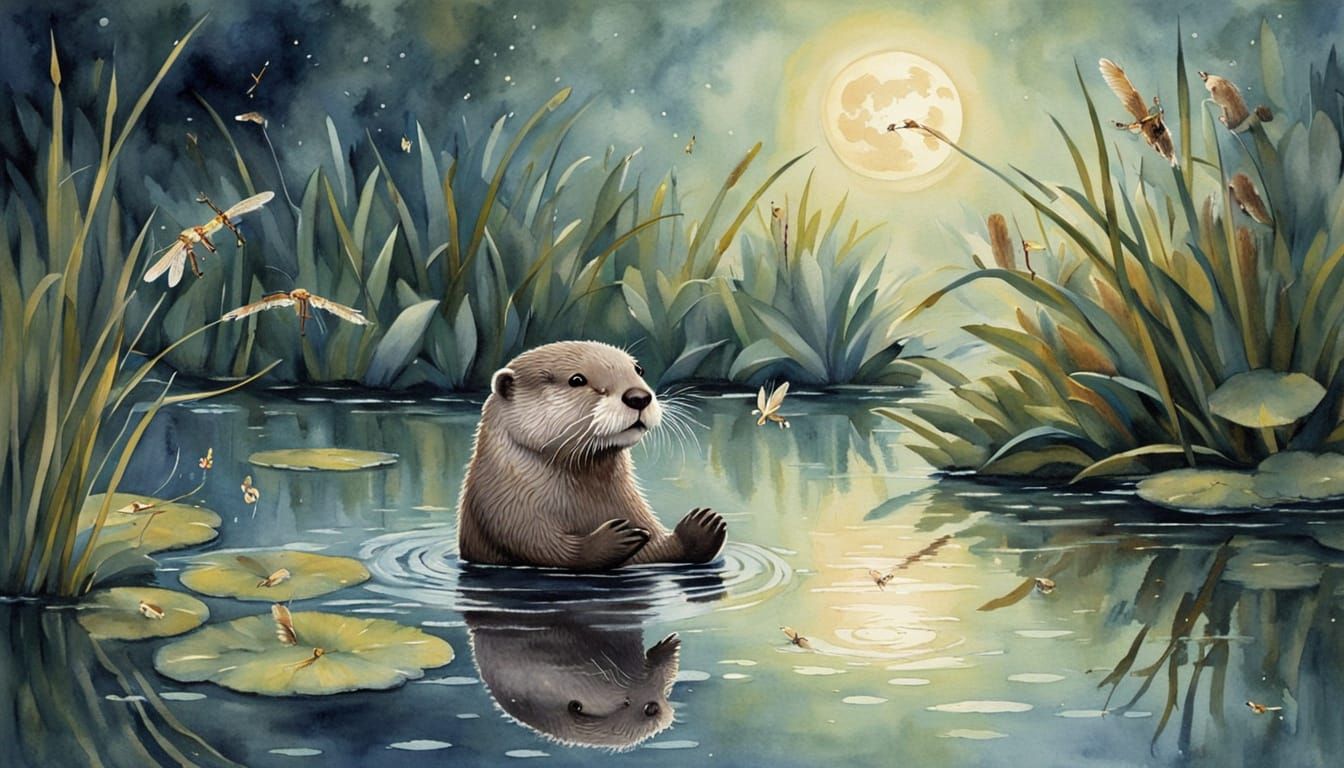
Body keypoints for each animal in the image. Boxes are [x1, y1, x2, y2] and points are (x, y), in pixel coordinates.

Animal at [456, 340, 726, 569]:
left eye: (639, 369)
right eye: (577, 379)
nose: (638, 397)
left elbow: (655, 549)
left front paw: (704, 523)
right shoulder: (505, 506)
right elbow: (541, 547)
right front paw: (613, 538)